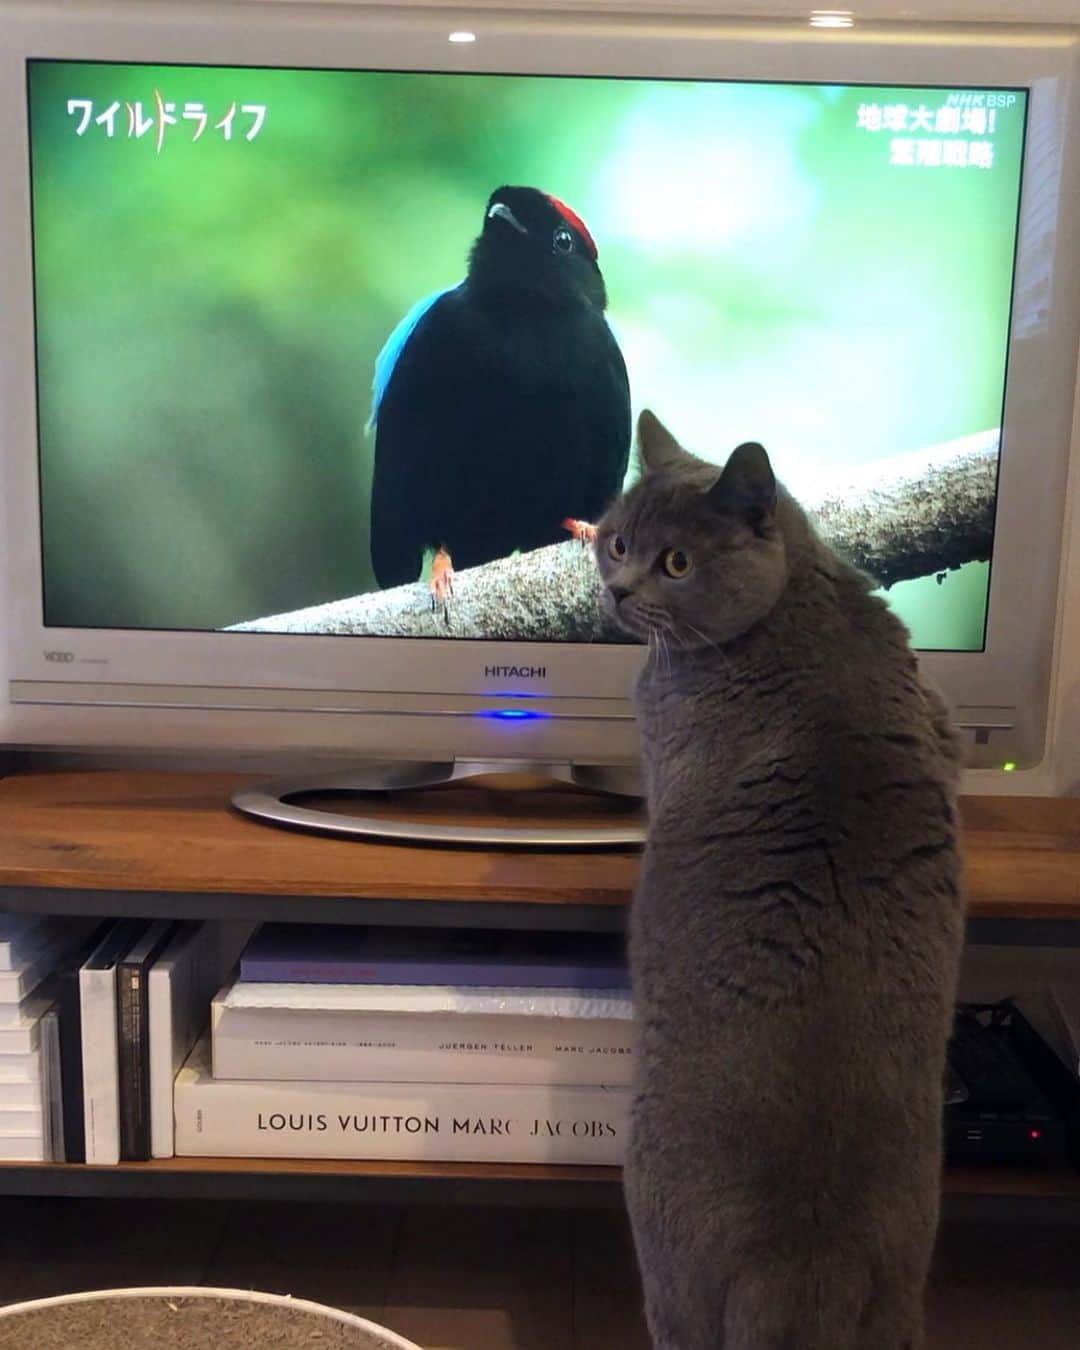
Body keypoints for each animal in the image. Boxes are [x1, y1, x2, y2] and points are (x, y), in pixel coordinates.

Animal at [594, 410, 966, 1350]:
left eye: (676, 563)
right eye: (618, 541)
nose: (616, 591)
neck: (801, 604)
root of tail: (801, 1267)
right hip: (901, 1291)